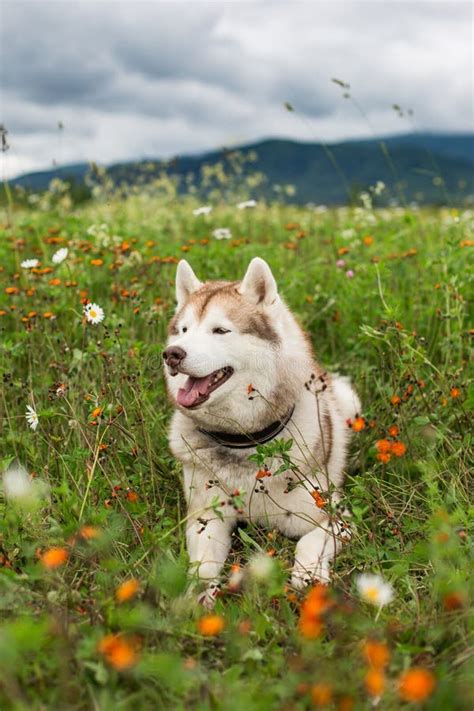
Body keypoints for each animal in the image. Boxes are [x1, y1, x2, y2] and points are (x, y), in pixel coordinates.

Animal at [163, 258, 360, 604]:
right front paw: (196, 596)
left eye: (220, 330)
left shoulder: (337, 518)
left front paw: (307, 574)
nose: (173, 353)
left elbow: (309, 541)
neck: (245, 441)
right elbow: (203, 565)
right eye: (184, 330)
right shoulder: (205, 519)